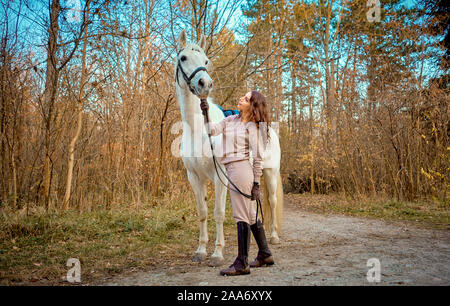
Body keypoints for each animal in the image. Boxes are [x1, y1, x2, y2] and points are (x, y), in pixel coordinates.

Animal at [174, 29, 284, 266]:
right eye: (183, 58)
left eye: (206, 60)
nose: (204, 83)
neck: (199, 130)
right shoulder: (194, 177)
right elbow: (203, 212)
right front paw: (200, 250)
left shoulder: (220, 177)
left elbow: (218, 213)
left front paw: (217, 254)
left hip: (270, 173)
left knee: (272, 201)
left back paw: (273, 237)